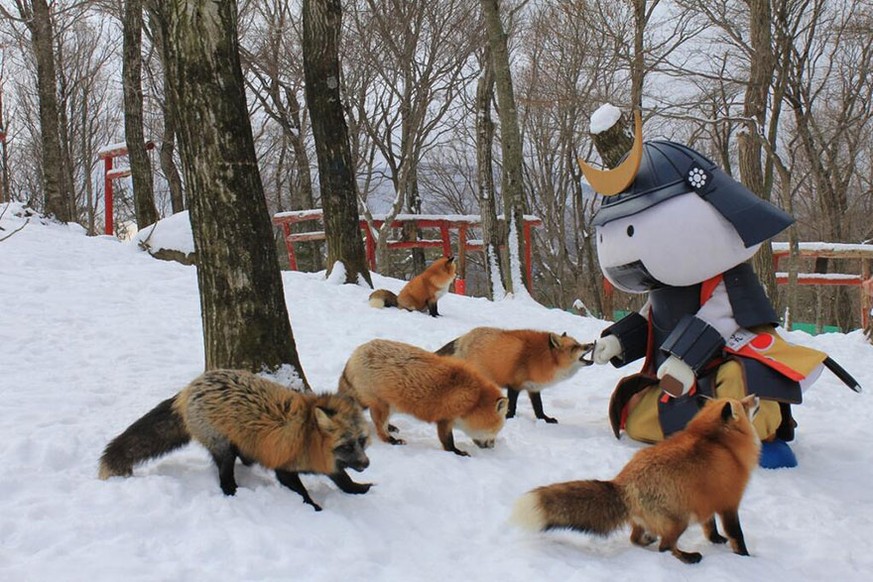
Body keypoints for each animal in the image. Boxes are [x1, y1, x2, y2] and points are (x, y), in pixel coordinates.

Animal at [98, 369, 371, 511]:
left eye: (362, 441)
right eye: (346, 445)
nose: (366, 463)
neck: (307, 438)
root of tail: (190, 387)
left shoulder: (326, 464)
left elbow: (344, 479)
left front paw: (360, 489)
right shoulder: (284, 468)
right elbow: (301, 491)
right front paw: (313, 508)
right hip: (223, 449)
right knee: (224, 476)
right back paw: (233, 493)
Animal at [338, 338, 508, 456]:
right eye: (494, 431)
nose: (492, 446)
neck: (474, 399)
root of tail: (356, 352)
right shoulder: (445, 419)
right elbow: (448, 442)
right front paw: (457, 453)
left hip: (388, 405)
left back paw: (391, 427)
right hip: (382, 406)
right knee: (380, 428)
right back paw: (392, 440)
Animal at [436, 327, 594, 423]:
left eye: (578, 343)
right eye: (575, 347)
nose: (591, 344)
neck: (540, 359)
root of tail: (464, 337)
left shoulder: (533, 388)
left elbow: (539, 408)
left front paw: (545, 419)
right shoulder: (514, 385)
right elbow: (512, 405)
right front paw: (508, 418)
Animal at [511, 395, 761, 564]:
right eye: (744, 404)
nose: (755, 396)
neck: (721, 443)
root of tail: (622, 484)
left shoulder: (707, 500)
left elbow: (710, 527)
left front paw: (716, 540)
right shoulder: (729, 503)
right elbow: (736, 534)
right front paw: (745, 557)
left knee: (635, 539)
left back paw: (650, 541)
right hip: (679, 520)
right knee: (665, 547)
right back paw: (687, 557)